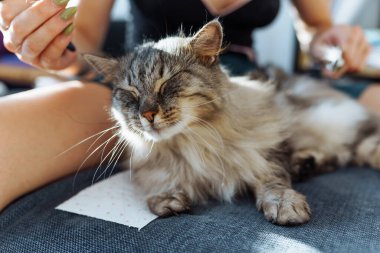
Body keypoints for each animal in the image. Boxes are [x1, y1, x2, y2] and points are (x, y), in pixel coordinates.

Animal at [84, 19, 380, 225]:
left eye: (167, 82)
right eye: (129, 93)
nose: (146, 114)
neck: (191, 143)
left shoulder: (267, 148)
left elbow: (272, 179)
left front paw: (284, 204)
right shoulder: (152, 165)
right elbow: (158, 182)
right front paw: (167, 197)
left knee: (352, 149)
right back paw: (303, 165)